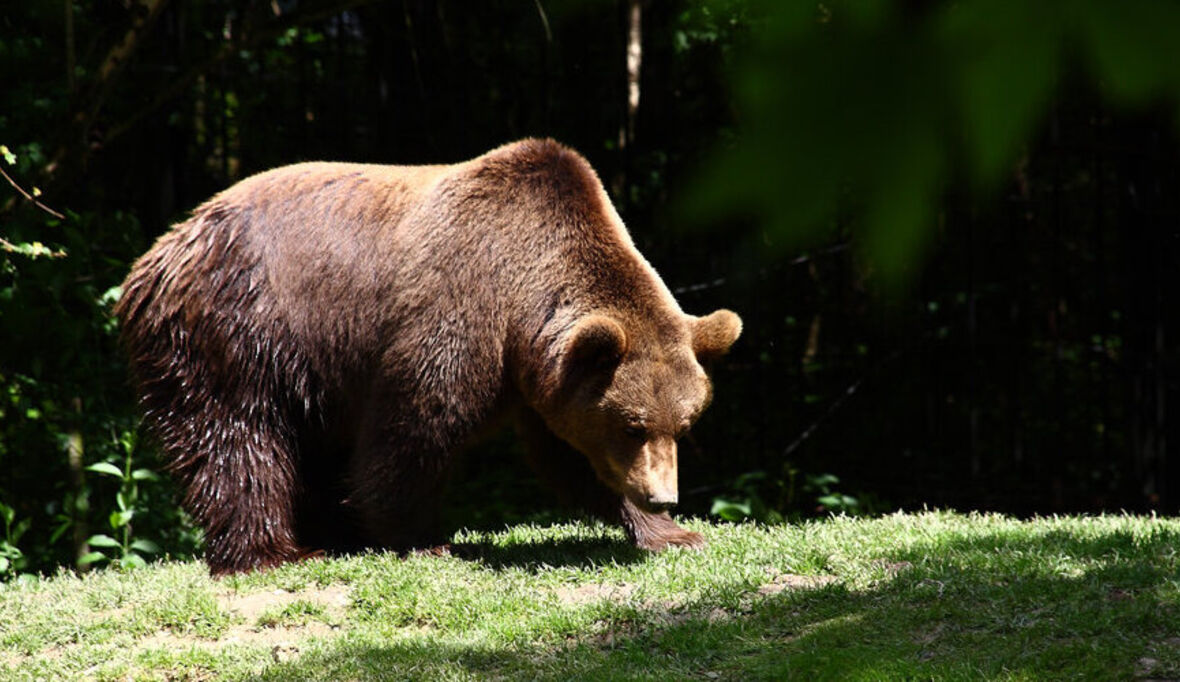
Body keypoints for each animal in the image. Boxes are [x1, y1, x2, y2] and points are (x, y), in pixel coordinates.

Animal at [112, 138, 736, 573]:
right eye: (633, 425)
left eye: (684, 425)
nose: (664, 494)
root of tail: (156, 256)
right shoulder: (457, 310)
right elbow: (415, 426)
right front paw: (423, 538)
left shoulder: (545, 379)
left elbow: (570, 454)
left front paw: (671, 533)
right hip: (240, 330)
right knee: (238, 437)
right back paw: (274, 552)